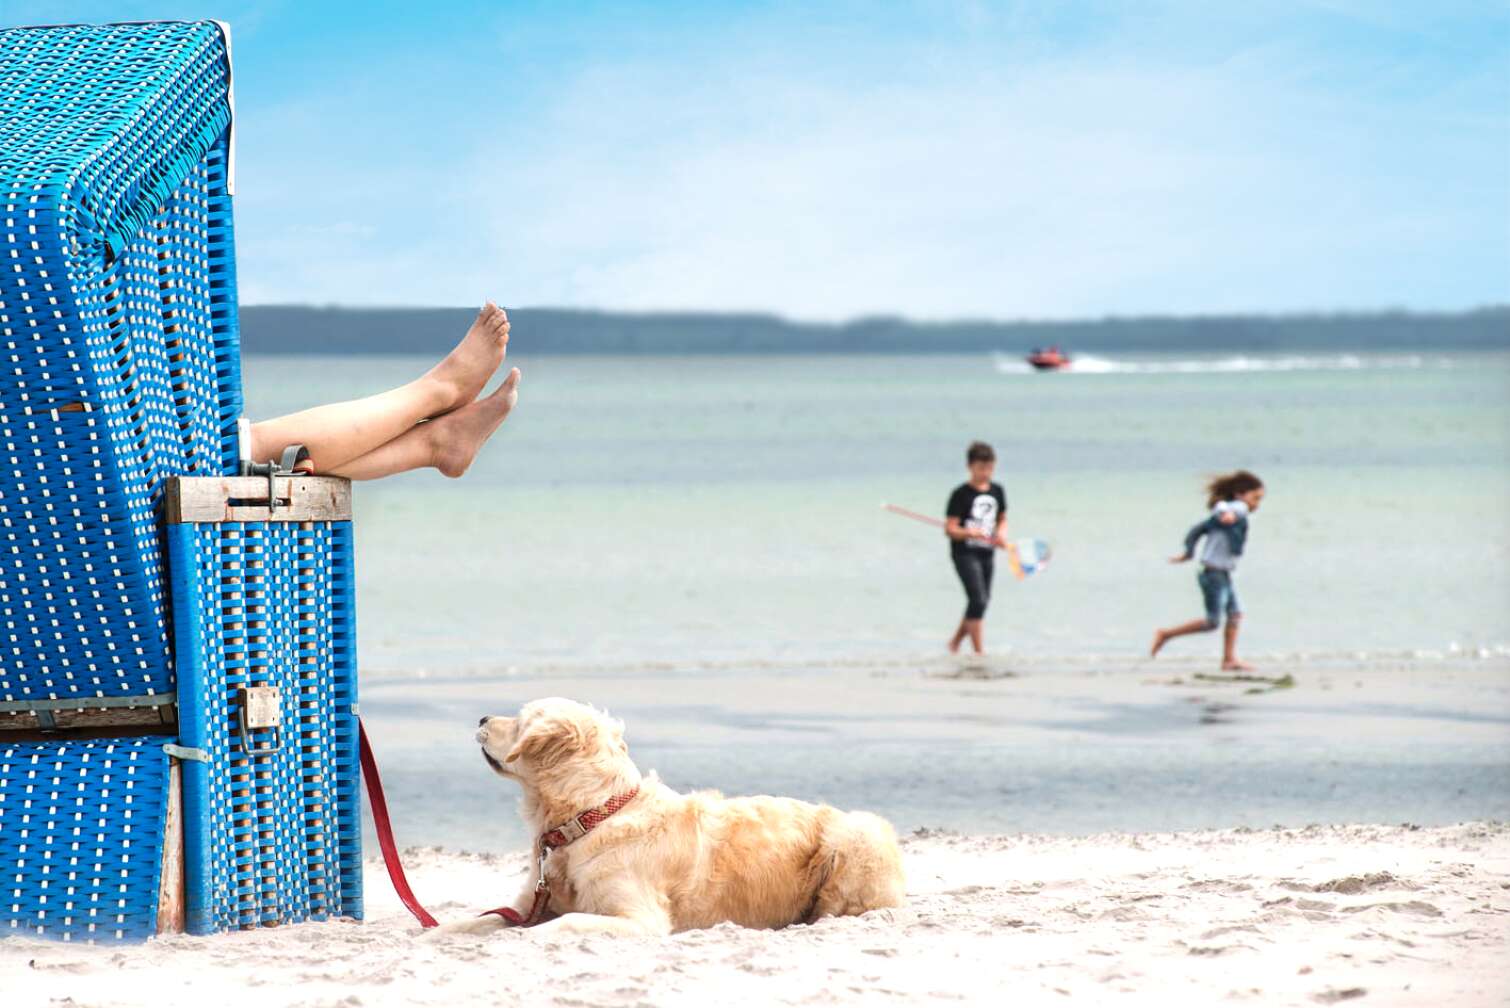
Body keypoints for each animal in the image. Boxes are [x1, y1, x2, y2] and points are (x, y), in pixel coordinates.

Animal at [440, 694, 899, 935]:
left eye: (519, 722)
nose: (482, 716)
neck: (590, 817)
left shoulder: (638, 917)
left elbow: (560, 924)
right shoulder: (528, 902)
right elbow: (468, 923)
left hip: (858, 834)